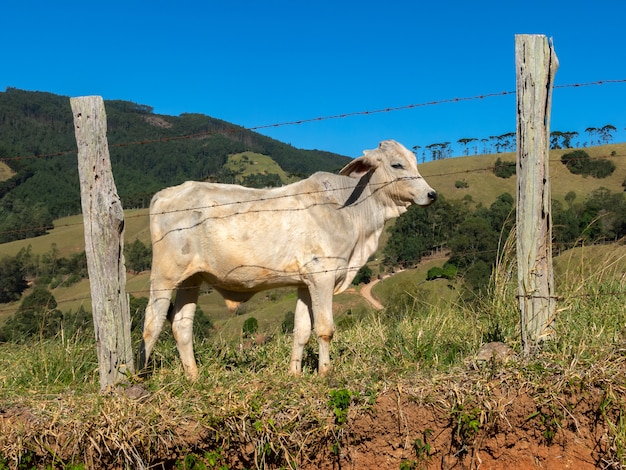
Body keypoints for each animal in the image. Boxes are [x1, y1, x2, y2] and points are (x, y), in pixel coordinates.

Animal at [141, 140, 434, 378]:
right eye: (397, 164)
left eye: (414, 159)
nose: (431, 194)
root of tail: (164, 194)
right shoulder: (322, 276)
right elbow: (325, 328)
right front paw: (324, 373)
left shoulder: (305, 283)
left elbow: (301, 330)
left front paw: (295, 373)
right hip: (164, 276)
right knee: (152, 324)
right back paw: (141, 378)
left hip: (192, 278)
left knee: (181, 325)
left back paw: (193, 377)